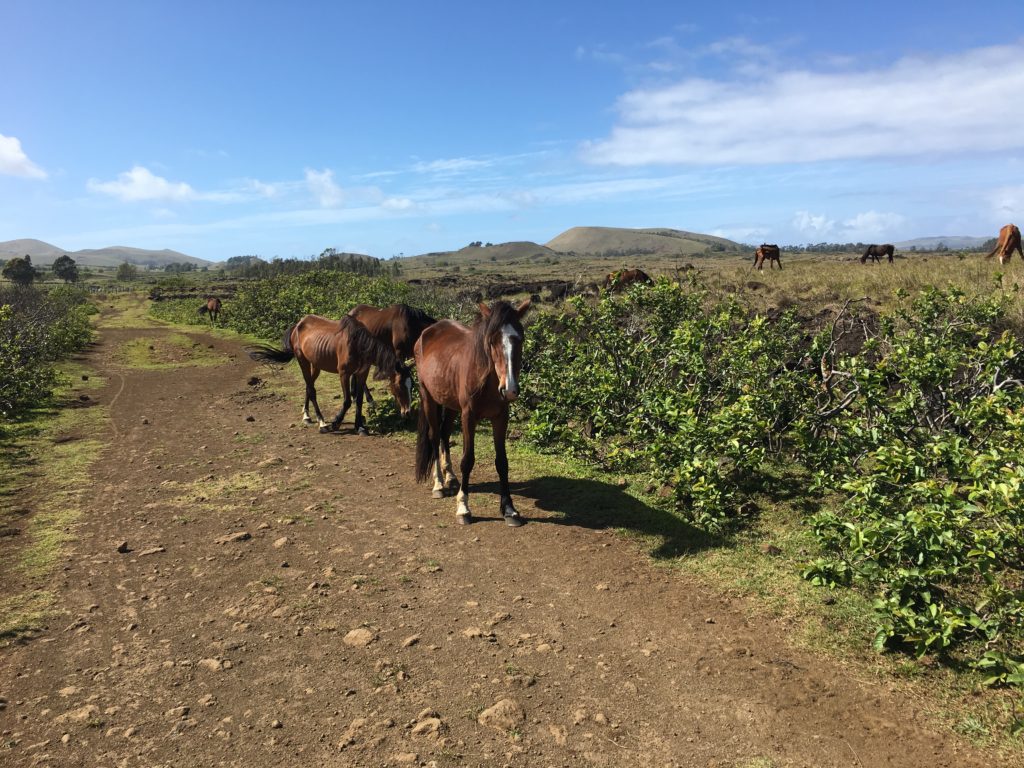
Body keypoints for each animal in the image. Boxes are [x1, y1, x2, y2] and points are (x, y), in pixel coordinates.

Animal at [247, 313, 411, 434]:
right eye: (399, 385)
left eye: (411, 385)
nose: (407, 412)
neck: (357, 343)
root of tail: (297, 325)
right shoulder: (344, 374)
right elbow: (347, 401)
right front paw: (335, 422)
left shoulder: (362, 373)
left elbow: (358, 400)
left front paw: (360, 427)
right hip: (302, 361)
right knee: (311, 390)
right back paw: (322, 423)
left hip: (316, 365)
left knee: (308, 387)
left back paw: (307, 415)